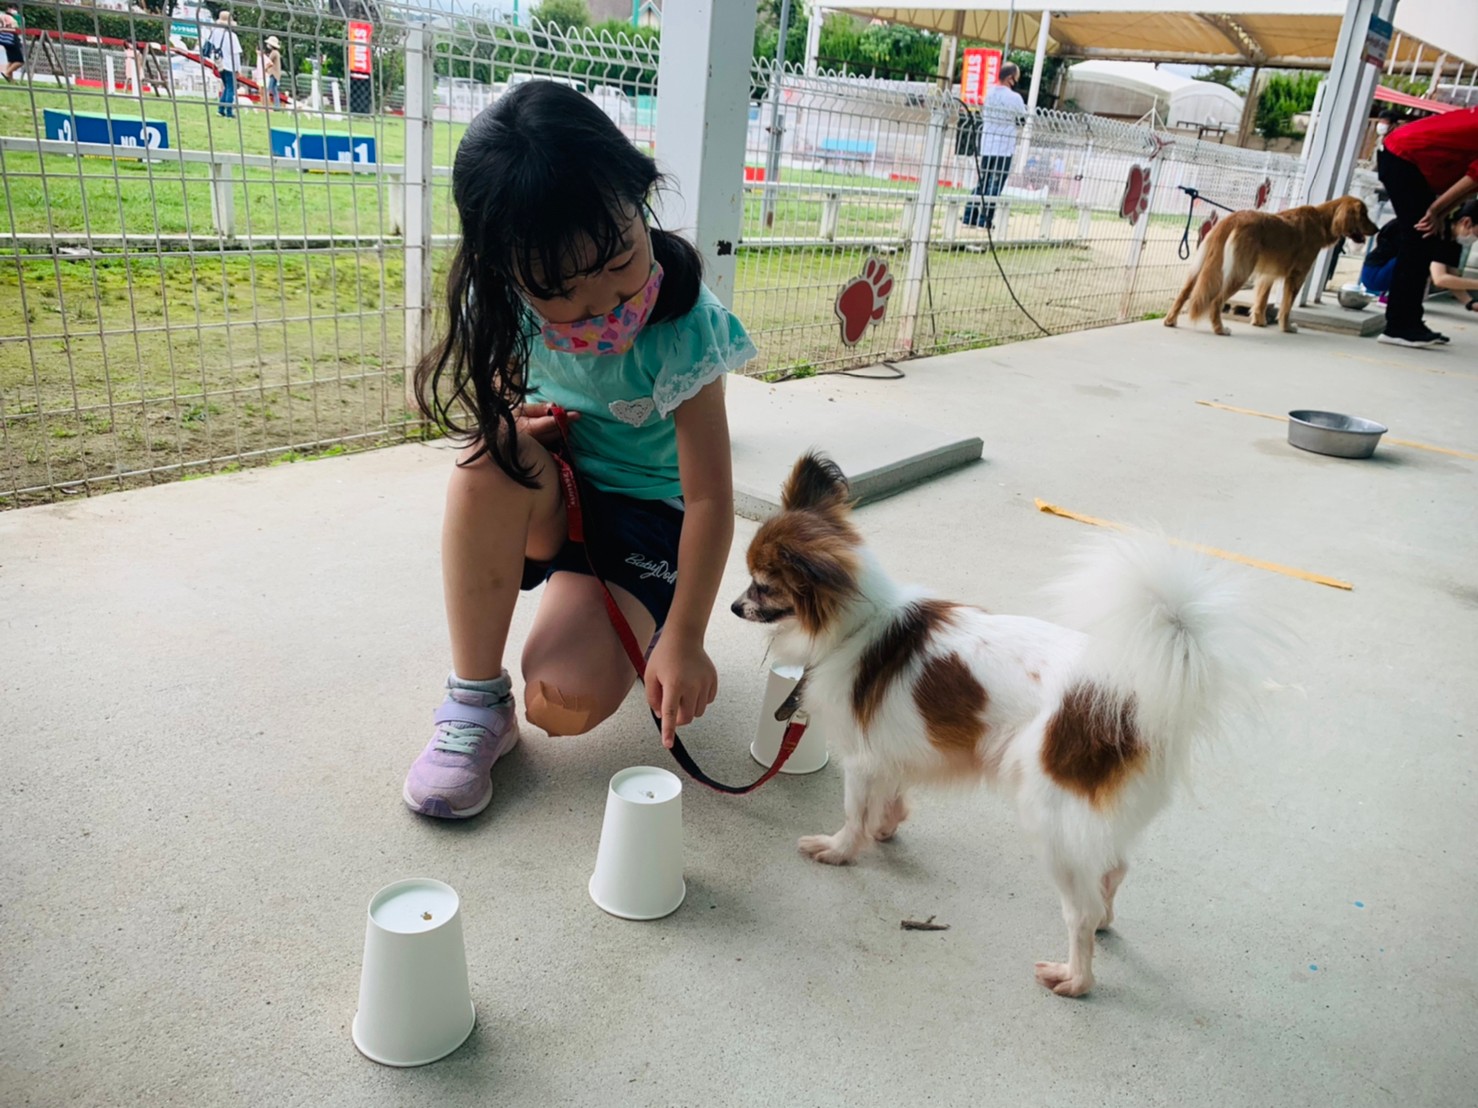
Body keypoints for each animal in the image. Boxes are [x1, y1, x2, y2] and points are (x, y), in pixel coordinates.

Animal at [733, 452, 1276, 998]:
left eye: (763, 585)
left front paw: (839, 850)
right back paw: (1104, 922)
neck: (857, 624)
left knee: (1080, 911)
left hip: (1051, 820)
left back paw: (1075, 978)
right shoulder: (891, 748)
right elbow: (892, 795)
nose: (735, 607)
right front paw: (886, 827)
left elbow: (853, 814)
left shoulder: (863, 760)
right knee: (1113, 871)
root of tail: (1130, 692)